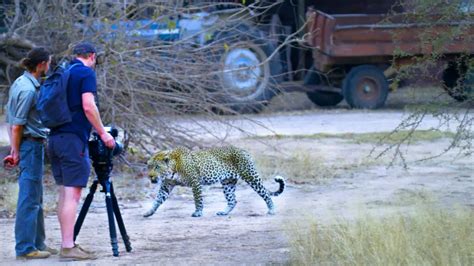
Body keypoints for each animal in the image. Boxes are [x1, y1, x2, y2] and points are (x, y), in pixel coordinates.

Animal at [143, 145, 286, 218]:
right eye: (149, 167)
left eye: (157, 167)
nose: (150, 176)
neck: (173, 169)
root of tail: (244, 150)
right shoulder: (166, 186)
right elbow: (157, 200)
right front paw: (149, 212)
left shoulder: (195, 182)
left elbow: (198, 199)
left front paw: (198, 212)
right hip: (228, 182)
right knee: (233, 200)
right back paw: (224, 212)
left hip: (250, 176)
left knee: (265, 193)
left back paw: (272, 209)